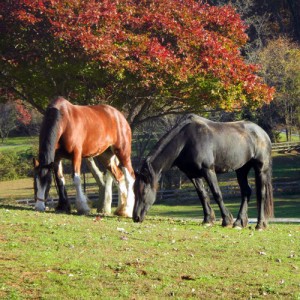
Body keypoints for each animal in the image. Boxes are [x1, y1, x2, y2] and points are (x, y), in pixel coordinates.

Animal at [132, 114, 274, 230]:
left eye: (143, 191)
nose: (135, 217)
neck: (186, 140)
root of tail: (262, 133)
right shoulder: (193, 174)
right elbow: (202, 195)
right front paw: (207, 220)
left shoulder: (208, 170)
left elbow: (217, 194)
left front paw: (226, 220)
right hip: (241, 170)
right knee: (246, 192)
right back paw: (239, 222)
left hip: (260, 168)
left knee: (261, 194)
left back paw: (260, 225)